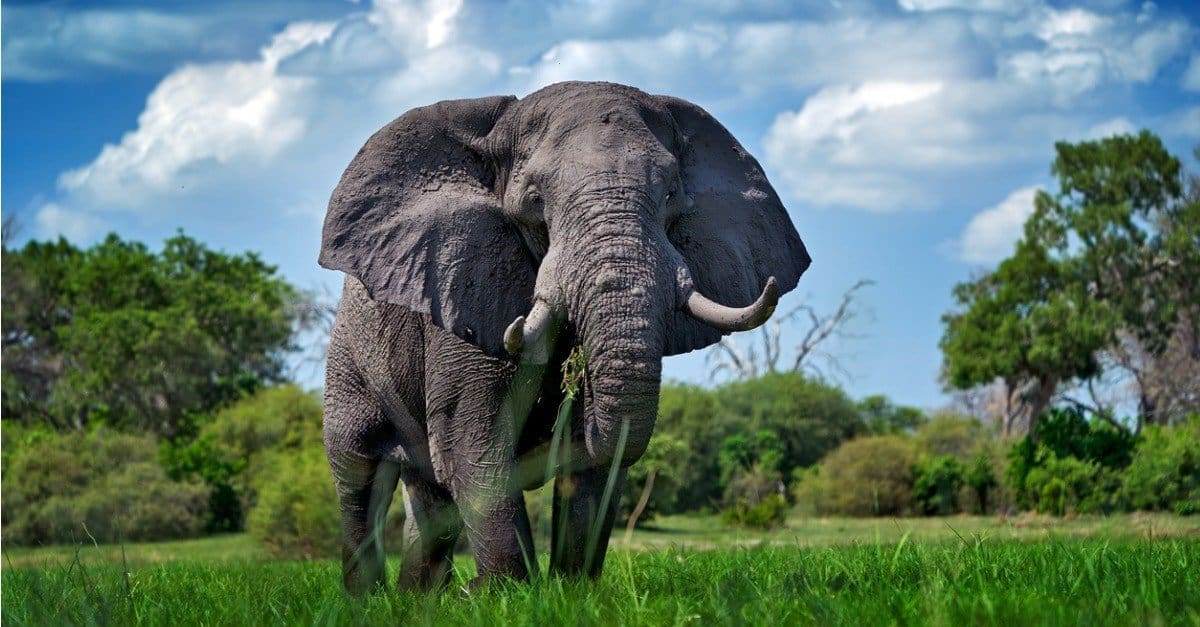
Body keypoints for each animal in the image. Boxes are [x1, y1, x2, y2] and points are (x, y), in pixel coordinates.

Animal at [318, 81, 810, 593]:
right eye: (535, 199)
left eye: (672, 194)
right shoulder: (460, 291)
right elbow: (470, 443)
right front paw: (503, 596)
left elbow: (591, 465)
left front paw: (568, 593)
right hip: (349, 357)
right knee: (358, 472)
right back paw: (368, 599)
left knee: (430, 498)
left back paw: (418, 600)